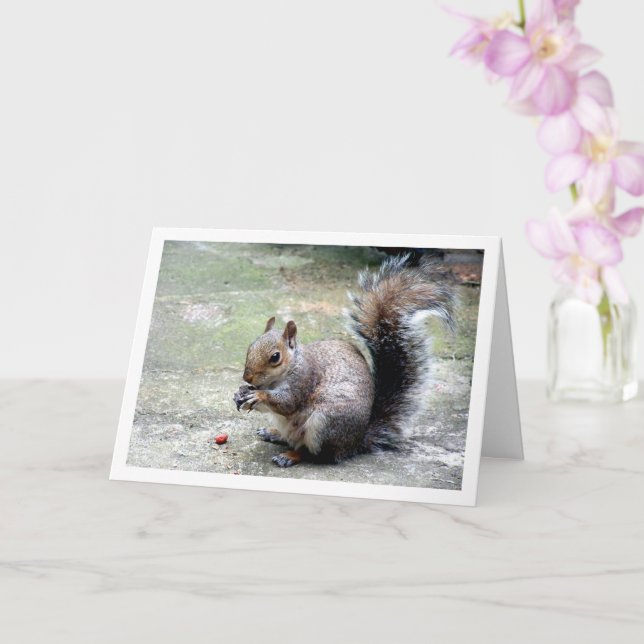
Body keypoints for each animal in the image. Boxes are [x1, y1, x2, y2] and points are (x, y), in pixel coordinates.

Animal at [233, 253, 456, 468]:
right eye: (250, 347)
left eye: (275, 357)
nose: (248, 377)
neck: (279, 376)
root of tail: (355, 443)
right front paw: (240, 394)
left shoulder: (304, 379)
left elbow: (288, 403)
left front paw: (259, 395)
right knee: (291, 439)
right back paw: (273, 433)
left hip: (324, 424)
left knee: (313, 453)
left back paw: (290, 456)